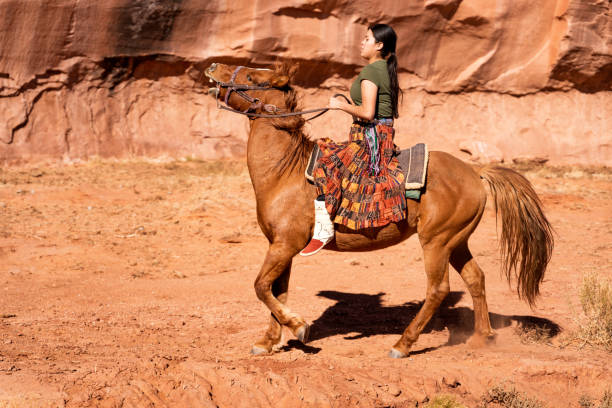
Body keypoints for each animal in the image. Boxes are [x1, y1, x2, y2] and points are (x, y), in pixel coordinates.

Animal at [203, 62, 552, 358]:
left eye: (252, 77)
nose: (212, 68)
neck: (284, 173)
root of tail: (476, 174)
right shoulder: (281, 246)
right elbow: (277, 290)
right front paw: (268, 341)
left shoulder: (285, 244)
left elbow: (261, 286)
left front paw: (299, 328)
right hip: (456, 242)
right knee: (476, 278)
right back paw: (481, 337)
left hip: (436, 242)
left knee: (438, 289)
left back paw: (403, 345)